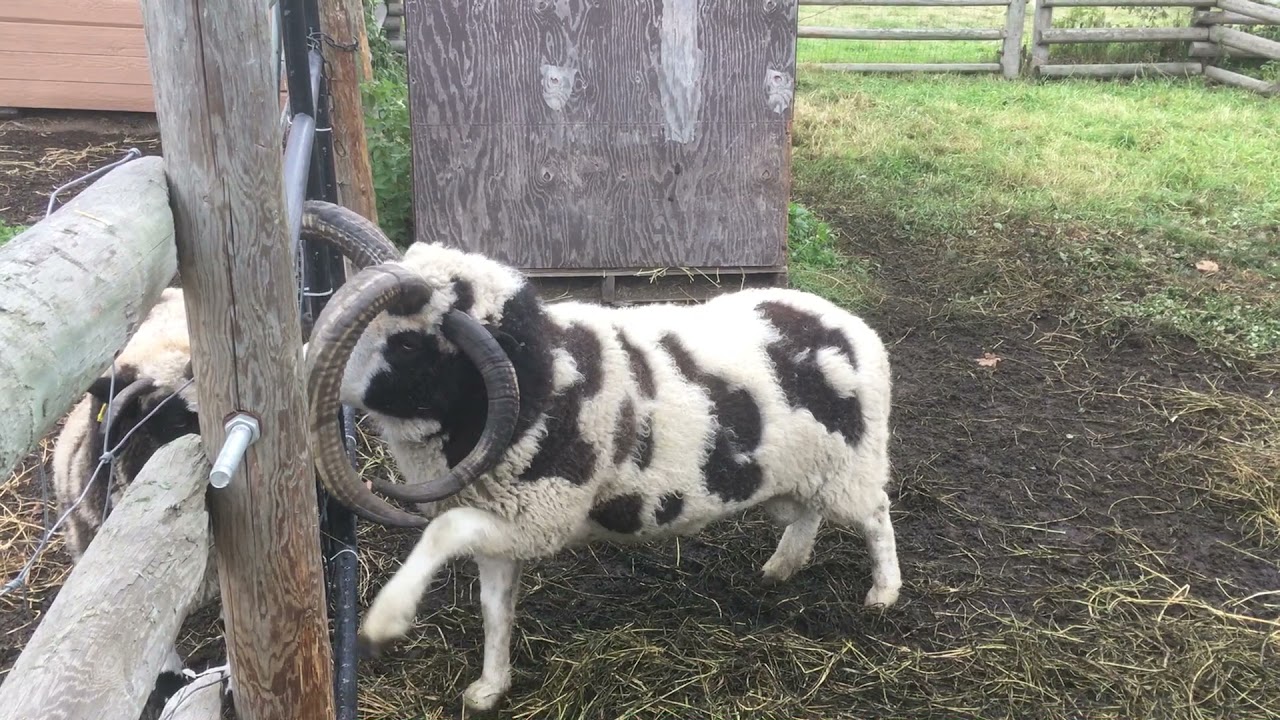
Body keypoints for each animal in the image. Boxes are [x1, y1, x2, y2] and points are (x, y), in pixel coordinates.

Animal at [299, 200, 904, 713]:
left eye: (405, 343)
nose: (301, 361)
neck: (540, 378)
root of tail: (855, 329)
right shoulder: (505, 522)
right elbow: (495, 608)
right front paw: (490, 687)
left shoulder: (542, 516)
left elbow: (442, 531)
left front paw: (383, 624)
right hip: (806, 473)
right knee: (809, 514)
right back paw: (782, 566)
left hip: (855, 465)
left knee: (876, 515)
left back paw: (883, 593)